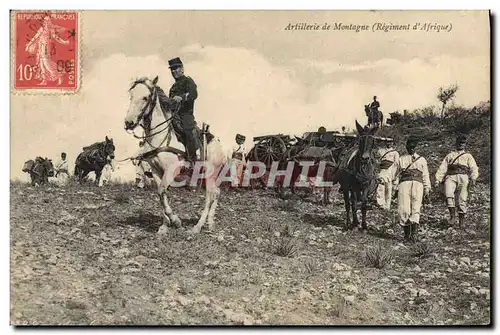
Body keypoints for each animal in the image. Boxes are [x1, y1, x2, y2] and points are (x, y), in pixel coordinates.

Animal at [124, 76, 226, 234]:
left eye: (145, 97)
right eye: (131, 96)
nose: (129, 122)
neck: (159, 136)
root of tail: (218, 145)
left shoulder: (172, 171)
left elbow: (162, 191)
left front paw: (176, 221)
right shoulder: (156, 171)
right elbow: (161, 194)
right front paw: (164, 226)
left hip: (210, 174)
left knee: (209, 196)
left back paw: (198, 226)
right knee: (217, 192)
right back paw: (210, 223)